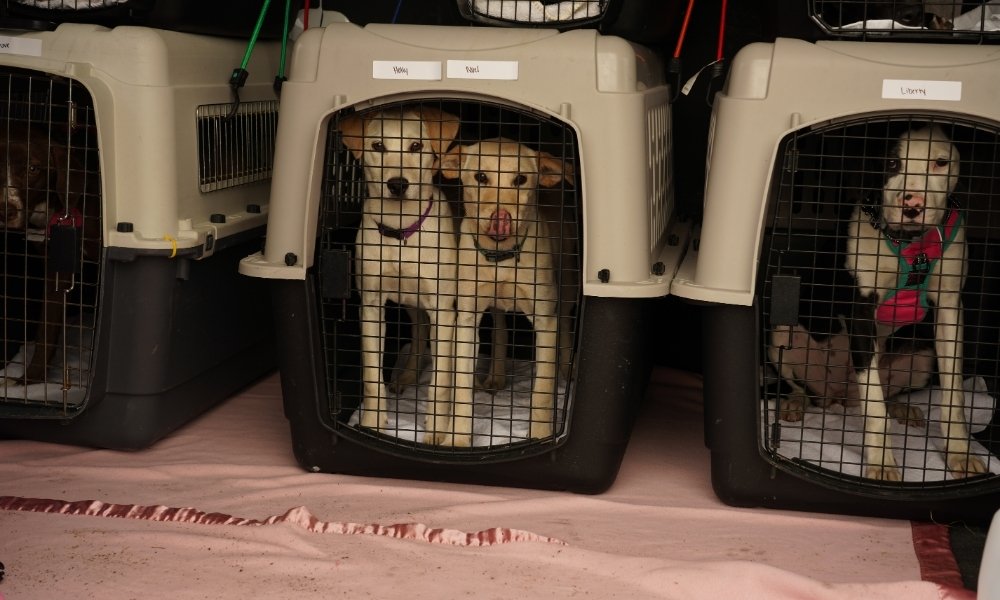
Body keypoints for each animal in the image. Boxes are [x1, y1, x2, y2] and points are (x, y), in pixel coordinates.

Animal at [336, 105, 460, 442]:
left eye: (416, 146)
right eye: (378, 146)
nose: (397, 184)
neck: (401, 229)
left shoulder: (444, 309)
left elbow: (441, 380)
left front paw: (437, 430)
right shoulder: (371, 306)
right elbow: (370, 375)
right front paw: (373, 424)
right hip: (412, 302)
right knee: (418, 336)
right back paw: (406, 376)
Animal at [442, 137, 576, 446]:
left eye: (521, 180)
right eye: (480, 176)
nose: (501, 217)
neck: (500, 257)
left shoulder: (545, 320)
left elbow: (542, 391)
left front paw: (540, 435)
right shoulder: (466, 319)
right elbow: (461, 386)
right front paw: (458, 438)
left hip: (567, 284)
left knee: (566, 323)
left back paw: (566, 370)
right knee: (500, 328)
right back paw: (496, 375)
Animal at [844, 126, 984, 482]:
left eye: (940, 162)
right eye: (891, 161)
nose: (913, 204)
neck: (909, 243)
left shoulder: (950, 312)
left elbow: (954, 393)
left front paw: (960, 452)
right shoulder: (861, 313)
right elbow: (874, 405)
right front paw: (882, 462)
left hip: (921, 359)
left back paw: (903, 409)